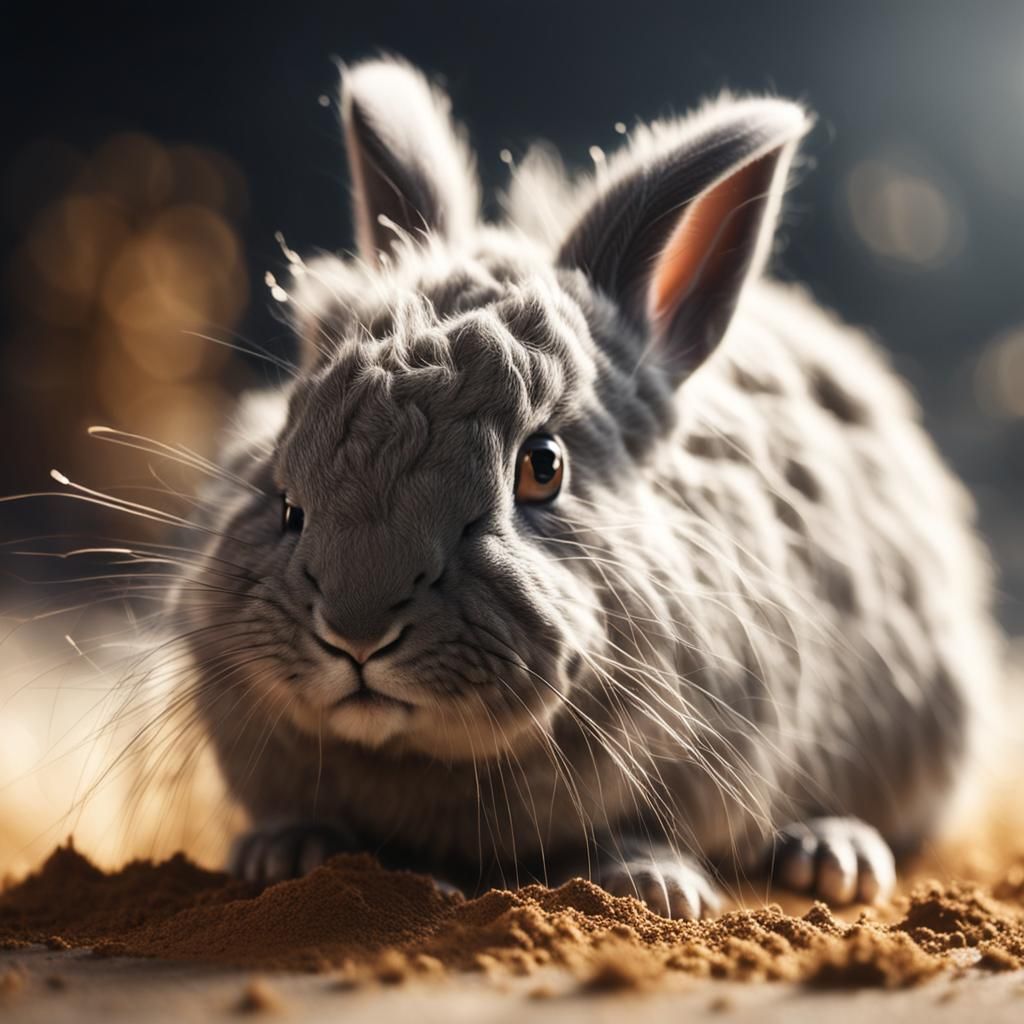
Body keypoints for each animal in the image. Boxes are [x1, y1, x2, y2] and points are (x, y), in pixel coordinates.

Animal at [180, 57, 999, 919]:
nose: (356, 629)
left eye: (543, 468)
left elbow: (638, 831)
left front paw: (657, 886)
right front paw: (284, 853)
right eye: (284, 455)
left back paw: (833, 856)